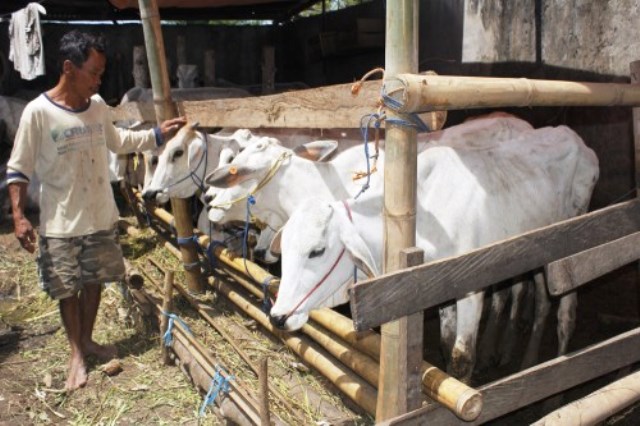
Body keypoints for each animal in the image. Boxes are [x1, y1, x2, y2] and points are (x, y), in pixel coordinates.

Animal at [268, 123, 596, 382]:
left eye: (316, 251)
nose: (278, 317)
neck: (429, 215)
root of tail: (577, 140)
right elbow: (447, 343)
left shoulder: (471, 289)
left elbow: (461, 357)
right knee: (540, 301)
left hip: (571, 249)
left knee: (564, 315)